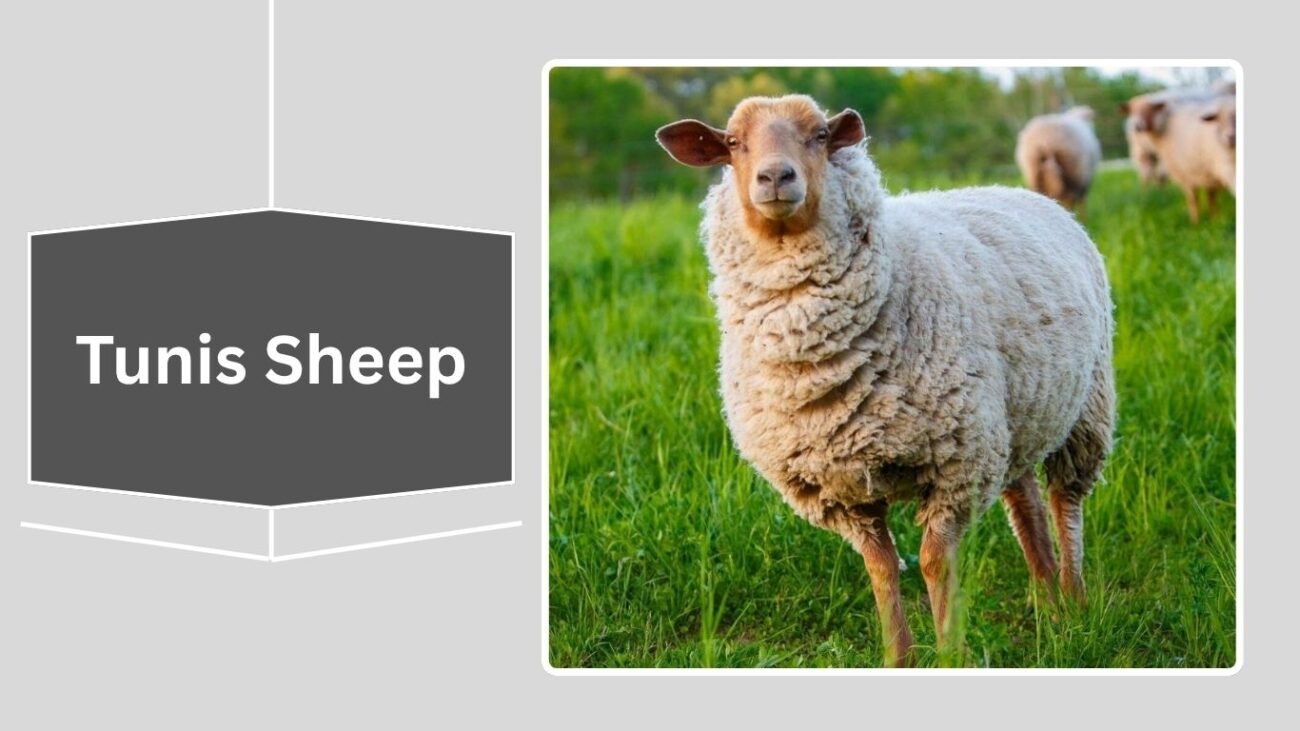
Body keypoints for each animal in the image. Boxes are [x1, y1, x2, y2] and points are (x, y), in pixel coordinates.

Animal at [657, 95, 1115, 667]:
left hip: (1085, 405)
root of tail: (1019, 191)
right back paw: (1047, 601)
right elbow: (879, 567)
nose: (776, 176)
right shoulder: (840, 490)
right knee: (1026, 503)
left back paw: (1073, 602)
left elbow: (934, 561)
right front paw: (900, 657)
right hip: (1016, 418)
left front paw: (951, 653)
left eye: (821, 136)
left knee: (1064, 501)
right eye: (734, 143)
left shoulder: (956, 464)